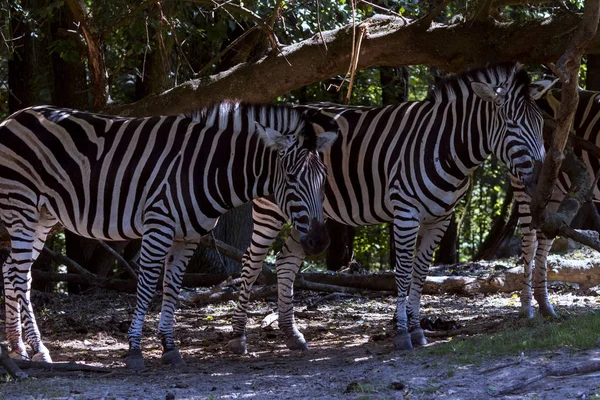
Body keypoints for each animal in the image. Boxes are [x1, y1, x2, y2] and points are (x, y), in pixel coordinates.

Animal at [0, 101, 338, 370]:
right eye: (291, 177)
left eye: (324, 178)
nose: (320, 242)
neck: (207, 168)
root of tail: (14, 116)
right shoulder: (158, 225)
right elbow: (148, 285)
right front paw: (135, 350)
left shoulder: (186, 237)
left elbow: (172, 288)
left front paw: (170, 347)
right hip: (21, 207)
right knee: (18, 275)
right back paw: (39, 350)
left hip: (42, 216)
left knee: (15, 272)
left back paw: (18, 349)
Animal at [227, 62, 548, 354]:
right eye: (512, 125)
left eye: (542, 125)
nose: (542, 177)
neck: (446, 147)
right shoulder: (406, 213)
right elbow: (403, 272)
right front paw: (403, 333)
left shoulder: (441, 219)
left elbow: (420, 272)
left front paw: (418, 330)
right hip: (272, 208)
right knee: (251, 261)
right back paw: (239, 338)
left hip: (308, 216)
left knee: (286, 262)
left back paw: (291, 335)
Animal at [510, 87, 600, 318]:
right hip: (524, 186)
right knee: (529, 243)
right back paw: (526, 307)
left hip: (555, 193)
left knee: (545, 239)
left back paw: (545, 305)